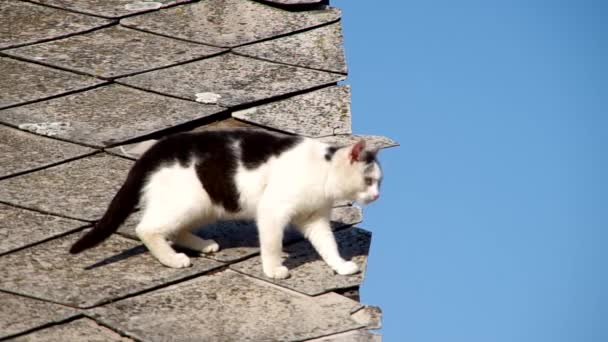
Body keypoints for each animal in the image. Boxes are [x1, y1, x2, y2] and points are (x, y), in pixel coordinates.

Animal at [70, 128, 380, 278]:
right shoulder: (272, 211)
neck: (324, 171)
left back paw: (202, 245)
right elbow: (271, 245)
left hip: (207, 204)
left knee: (175, 230)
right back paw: (173, 259)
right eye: (369, 180)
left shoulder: (314, 219)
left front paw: (340, 266)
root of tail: (158, 147)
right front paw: (273, 269)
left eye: (380, 182)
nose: (377, 195)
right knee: (146, 229)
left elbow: (328, 246)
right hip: (187, 202)